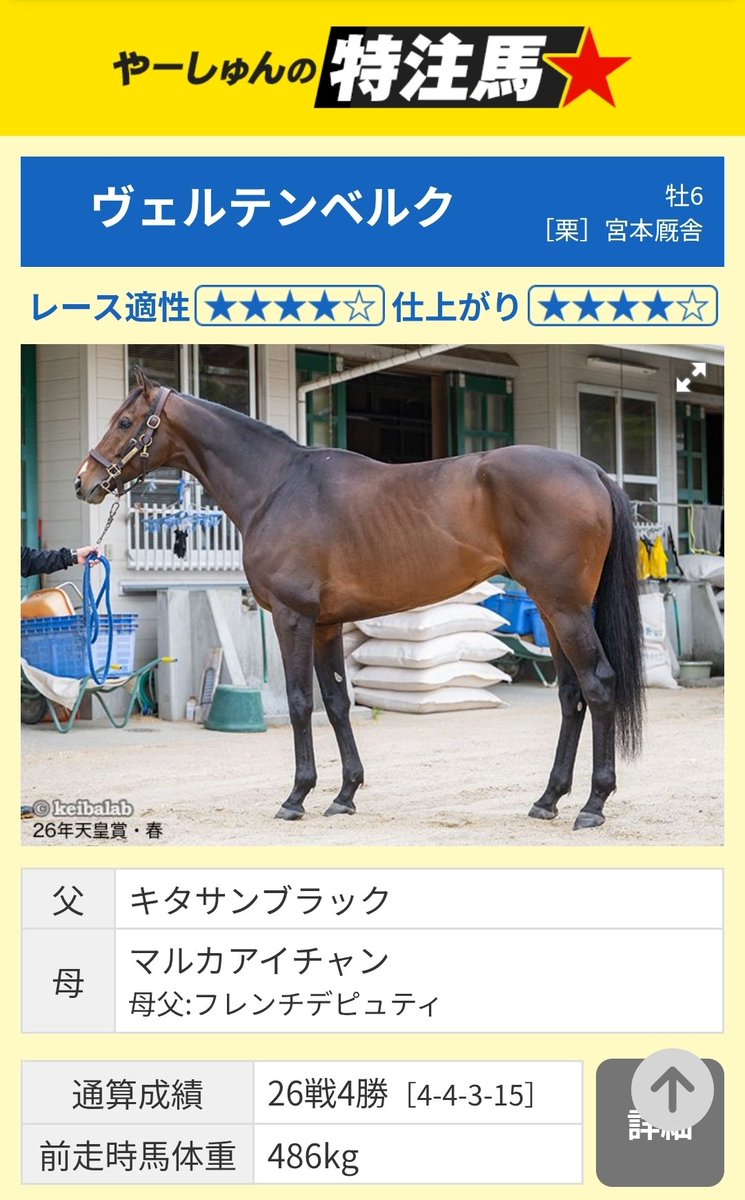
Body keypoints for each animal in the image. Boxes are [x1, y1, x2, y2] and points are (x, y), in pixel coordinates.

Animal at [74, 369, 644, 831]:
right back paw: (548, 799)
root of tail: (591, 471)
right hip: (553, 610)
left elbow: (300, 703)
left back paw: (593, 805)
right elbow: (336, 703)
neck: (277, 486)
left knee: (598, 685)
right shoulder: (327, 625)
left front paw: (296, 797)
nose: (85, 482)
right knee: (571, 696)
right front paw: (344, 795)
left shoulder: (293, 619)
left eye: (125, 422)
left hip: (566, 610)